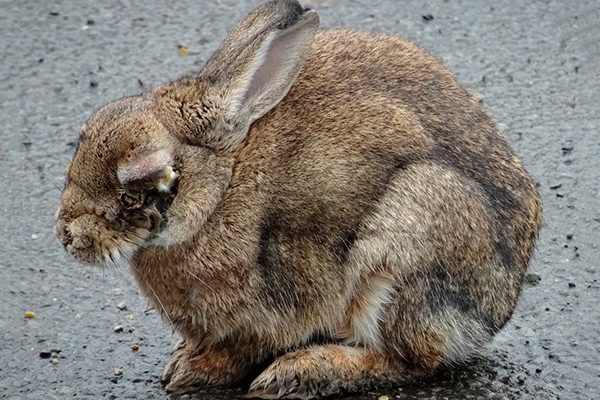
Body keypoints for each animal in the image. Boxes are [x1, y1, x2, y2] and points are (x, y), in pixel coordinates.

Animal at [55, 0, 544, 398]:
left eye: (145, 185)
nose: (67, 236)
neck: (222, 187)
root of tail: (496, 309)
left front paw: (195, 371)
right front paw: (184, 365)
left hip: (407, 245)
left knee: (414, 359)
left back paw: (303, 372)